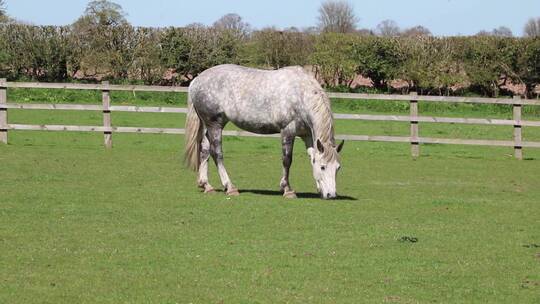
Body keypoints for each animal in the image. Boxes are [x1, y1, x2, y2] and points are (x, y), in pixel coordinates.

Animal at [186, 64, 344, 200]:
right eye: (323, 167)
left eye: (338, 168)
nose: (331, 195)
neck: (300, 94)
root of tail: (196, 81)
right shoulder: (288, 131)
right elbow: (287, 160)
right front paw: (287, 189)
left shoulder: (307, 135)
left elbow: (312, 158)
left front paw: (318, 188)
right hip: (214, 125)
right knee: (217, 153)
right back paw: (230, 187)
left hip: (212, 126)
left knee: (205, 151)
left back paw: (207, 185)